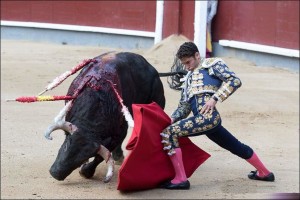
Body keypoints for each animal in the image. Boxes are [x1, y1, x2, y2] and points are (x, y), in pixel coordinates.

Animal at [45, 52, 185, 183]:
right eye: (67, 145)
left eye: (84, 157)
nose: (55, 173)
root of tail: (154, 71)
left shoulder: (117, 133)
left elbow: (101, 157)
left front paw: (85, 171)